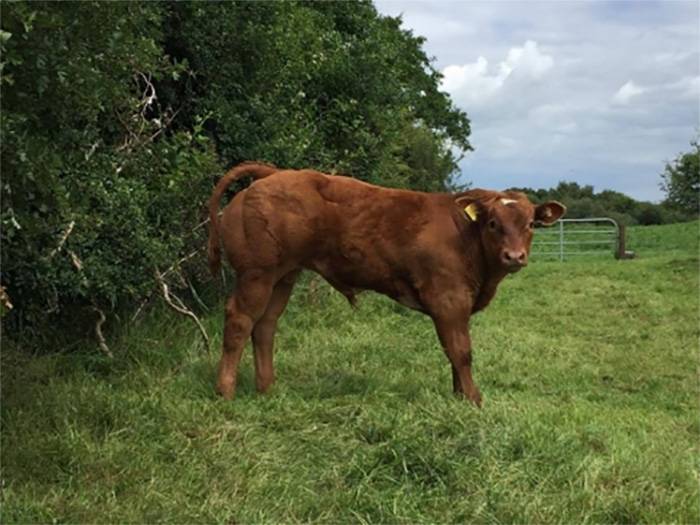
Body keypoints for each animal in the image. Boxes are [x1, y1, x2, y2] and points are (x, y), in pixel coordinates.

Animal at [207, 162, 565, 406]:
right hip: (257, 273)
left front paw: (457, 396)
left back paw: (267, 388)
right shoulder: (448, 298)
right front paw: (473, 399)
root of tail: (273, 173)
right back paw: (225, 390)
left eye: (530, 223)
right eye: (492, 223)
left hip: (283, 275)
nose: (514, 256)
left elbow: (454, 351)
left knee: (265, 324)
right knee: (240, 321)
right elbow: (461, 351)